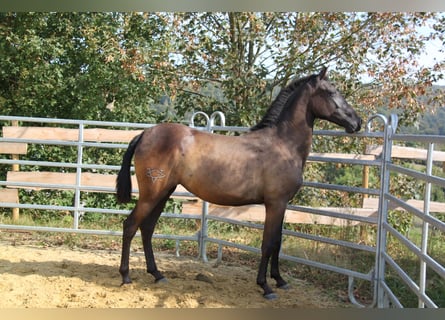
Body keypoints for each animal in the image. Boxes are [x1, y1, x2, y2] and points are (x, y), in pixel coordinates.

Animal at [114, 67, 360, 300]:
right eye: (331, 92)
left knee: (147, 228)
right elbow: (268, 243)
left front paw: (280, 280)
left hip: (164, 193)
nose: (356, 122)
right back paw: (126, 276)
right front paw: (266, 287)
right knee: (130, 225)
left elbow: (278, 243)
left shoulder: (282, 205)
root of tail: (145, 134)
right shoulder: (275, 204)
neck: (283, 144)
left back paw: (157, 274)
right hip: (152, 194)